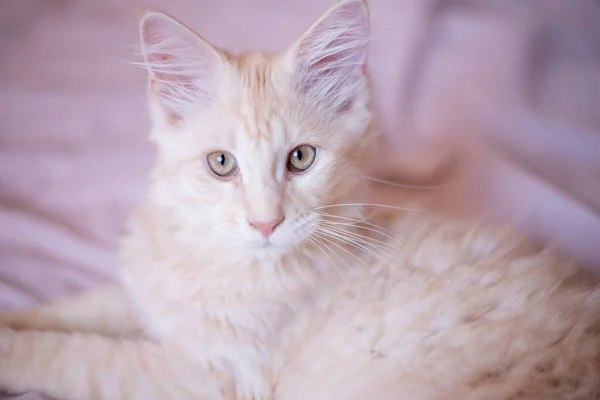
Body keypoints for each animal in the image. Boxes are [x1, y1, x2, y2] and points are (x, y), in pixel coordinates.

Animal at [1, 0, 600, 400]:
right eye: (222, 164)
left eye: (301, 158)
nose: (266, 223)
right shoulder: (146, 297)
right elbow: (83, 308)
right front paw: (17, 316)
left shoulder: (212, 379)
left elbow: (73, 354)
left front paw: (12, 348)